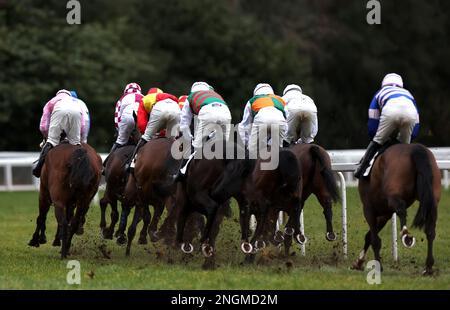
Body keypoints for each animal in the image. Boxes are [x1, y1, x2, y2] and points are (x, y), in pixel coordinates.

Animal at [352, 143, 440, 274]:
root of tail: (416, 148)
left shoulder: (369, 209)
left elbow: (374, 239)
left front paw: (378, 266)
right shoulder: (385, 214)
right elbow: (369, 236)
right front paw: (358, 262)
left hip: (394, 193)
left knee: (401, 208)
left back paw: (406, 235)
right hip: (432, 200)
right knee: (430, 231)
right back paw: (428, 267)